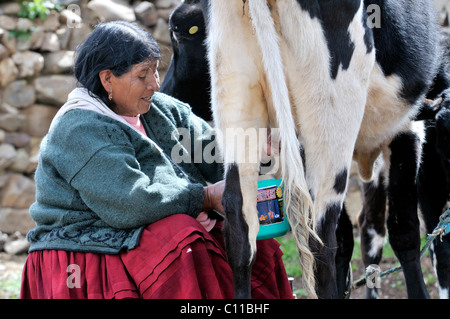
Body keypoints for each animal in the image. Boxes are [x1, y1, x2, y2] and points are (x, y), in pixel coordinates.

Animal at [205, 0, 442, 300]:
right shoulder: (408, 127)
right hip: (332, 114)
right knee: (320, 239)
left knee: (240, 223)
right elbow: (404, 231)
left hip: (236, 94)